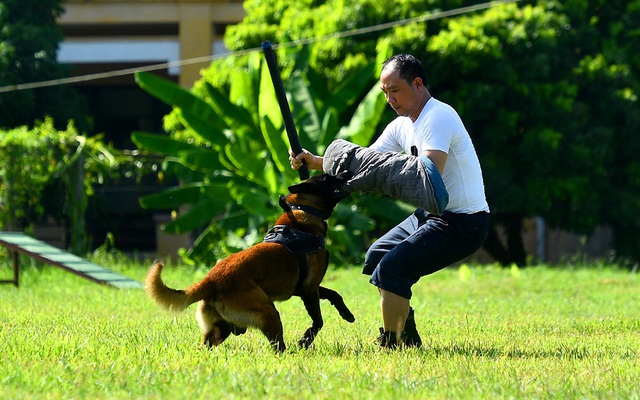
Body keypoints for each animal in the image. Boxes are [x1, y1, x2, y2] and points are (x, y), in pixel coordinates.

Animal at [145, 170, 356, 352]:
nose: (347, 172)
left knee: (206, 345)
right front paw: (305, 340)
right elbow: (318, 321)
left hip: (221, 328)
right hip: (269, 312)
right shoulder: (309, 290)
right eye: (328, 178)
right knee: (278, 346)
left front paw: (346, 313)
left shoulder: (305, 288)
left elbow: (335, 294)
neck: (303, 211)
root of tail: (210, 280)